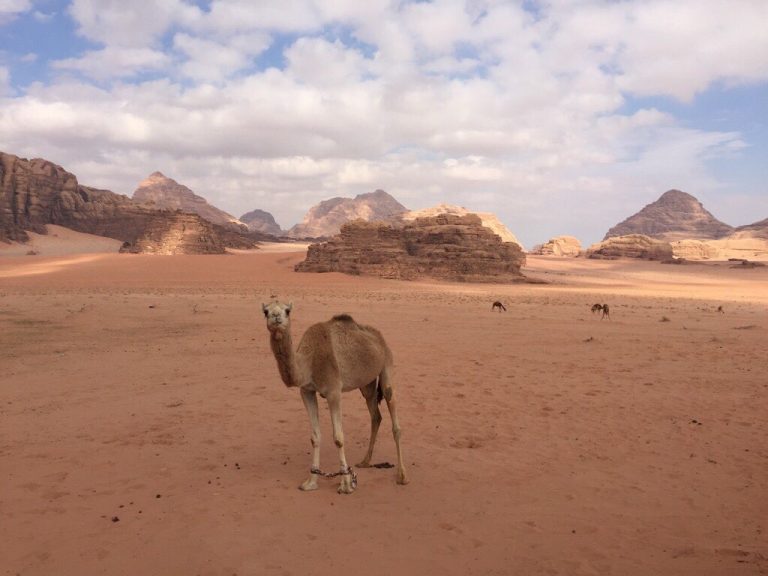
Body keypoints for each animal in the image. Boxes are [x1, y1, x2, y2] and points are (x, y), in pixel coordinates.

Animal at [262, 300, 408, 492]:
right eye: (265, 311)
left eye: (287, 310)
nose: (276, 317)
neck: (309, 361)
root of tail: (379, 337)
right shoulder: (307, 391)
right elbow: (315, 437)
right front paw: (311, 482)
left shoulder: (333, 391)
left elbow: (338, 438)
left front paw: (345, 484)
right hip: (367, 383)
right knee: (376, 415)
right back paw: (365, 461)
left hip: (387, 364)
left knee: (393, 414)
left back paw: (402, 476)